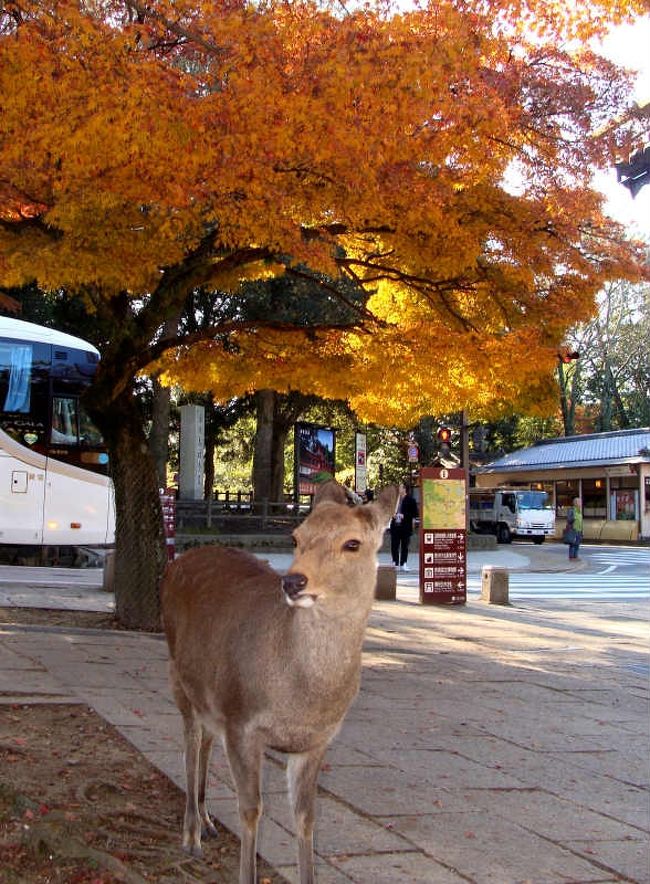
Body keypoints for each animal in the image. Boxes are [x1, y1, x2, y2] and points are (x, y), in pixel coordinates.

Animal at [159, 484, 398, 884]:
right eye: (296, 537)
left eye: (353, 543)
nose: (293, 581)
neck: (301, 698)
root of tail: (175, 563)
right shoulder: (242, 722)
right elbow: (251, 809)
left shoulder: (316, 742)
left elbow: (306, 817)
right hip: (177, 672)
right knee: (190, 744)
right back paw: (191, 835)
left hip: (212, 694)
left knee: (205, 739)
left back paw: (207, 822)